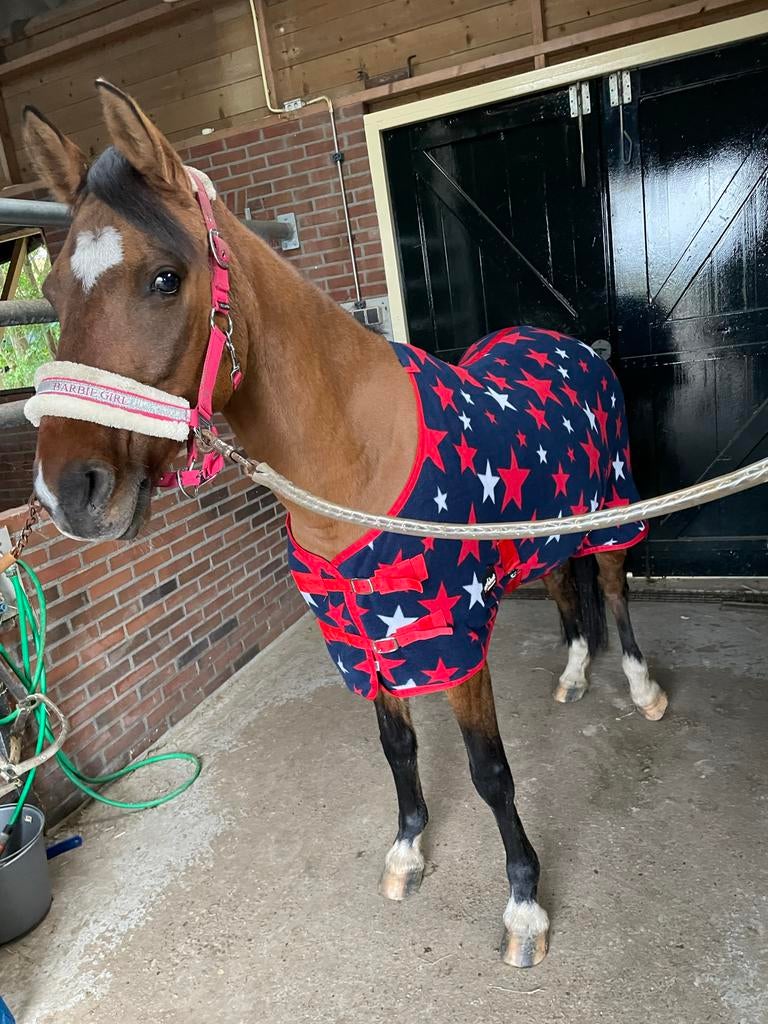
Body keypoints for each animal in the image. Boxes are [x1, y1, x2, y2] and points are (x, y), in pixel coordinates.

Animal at [21, 81, 668, 969]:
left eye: (164, 278)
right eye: (52, 297)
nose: (68, 494)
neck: (355, 461)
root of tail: (577, 347)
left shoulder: (447, 640)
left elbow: (490, 771)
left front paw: (524, 905)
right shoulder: (359, 636)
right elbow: (398, 749)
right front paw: (407, 852)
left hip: (610, 510)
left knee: (611, 583)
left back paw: (642, 690)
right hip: (542, 532)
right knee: (570, 592)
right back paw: (573, 676)